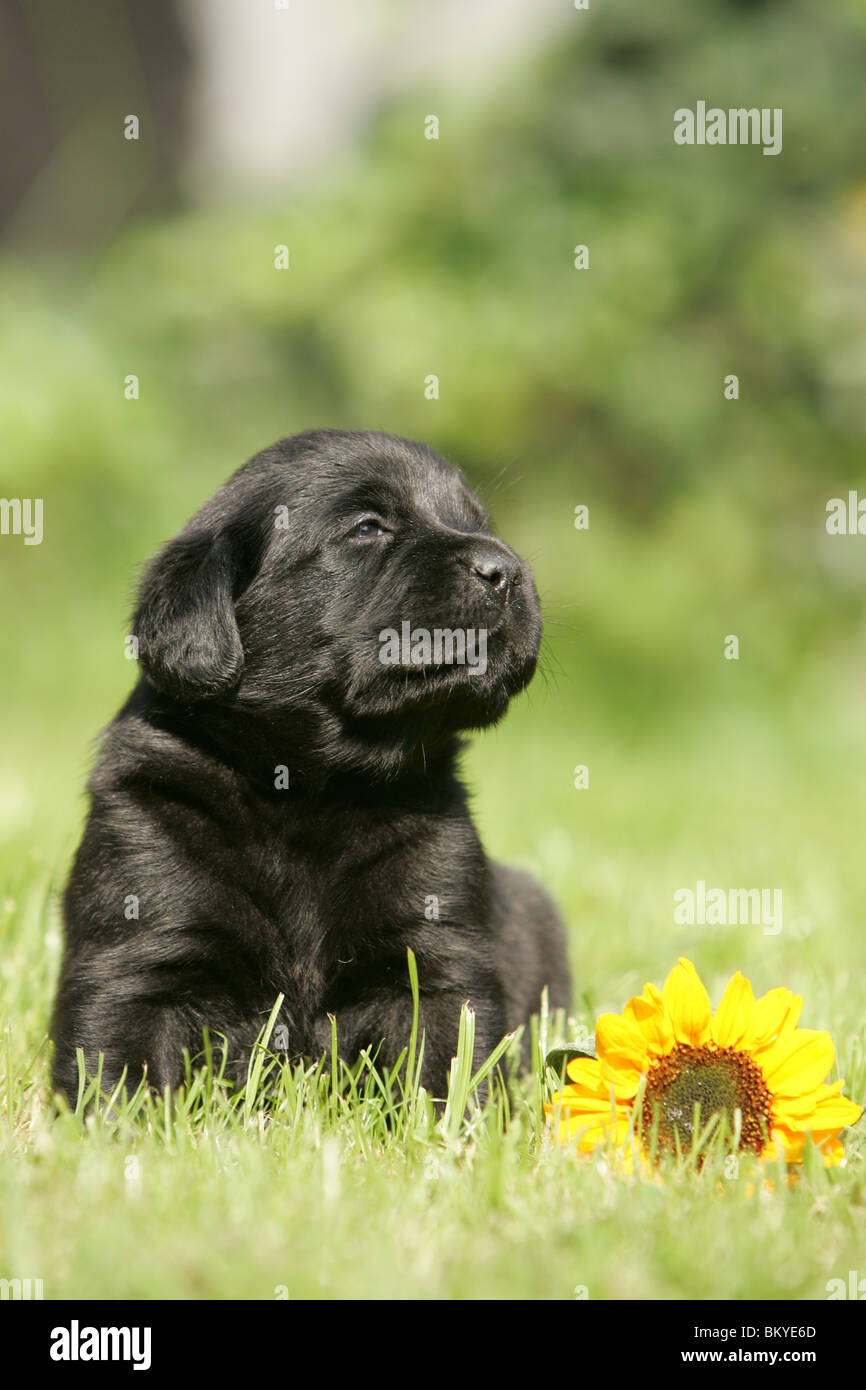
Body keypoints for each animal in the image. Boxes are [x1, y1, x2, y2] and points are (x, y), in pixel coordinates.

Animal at [50, 428, 572, 1100]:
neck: (308, 785)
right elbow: (116, 1067)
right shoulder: (137, 938)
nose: (506, 571)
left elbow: (449, 1065)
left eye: (479, 523)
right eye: (369, 527)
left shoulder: (439, 951)